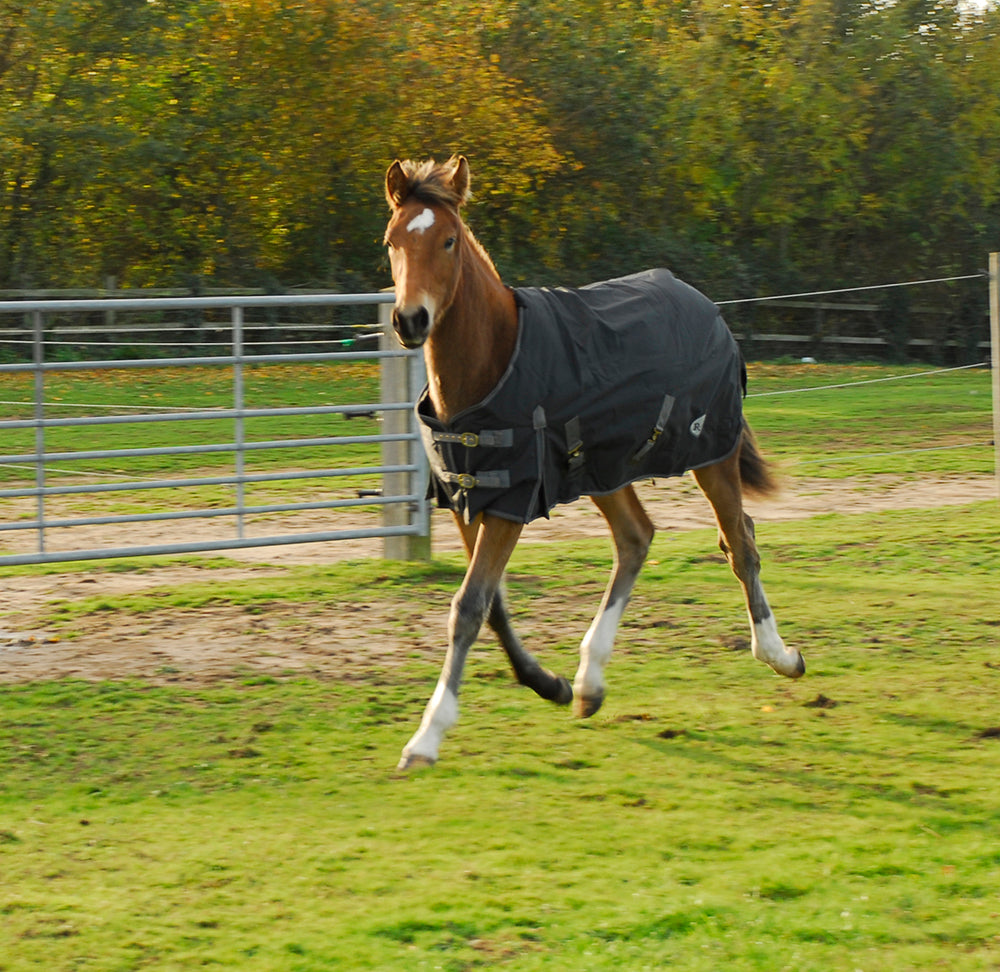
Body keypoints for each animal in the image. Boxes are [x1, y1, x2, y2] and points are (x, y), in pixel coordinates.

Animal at [384, 155, 805, 770]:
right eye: (391, 240)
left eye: (448, 240)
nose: (410, 320)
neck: (492, 362)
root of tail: (707, 308)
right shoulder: (470, 498)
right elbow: (492, 605)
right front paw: (549, 684)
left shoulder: (511, 502)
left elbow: (468, 606)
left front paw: (426, 737)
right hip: (604, 470)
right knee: (637, 538)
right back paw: (588, 683)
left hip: (713, 454)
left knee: (740, 541)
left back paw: (779, 654)